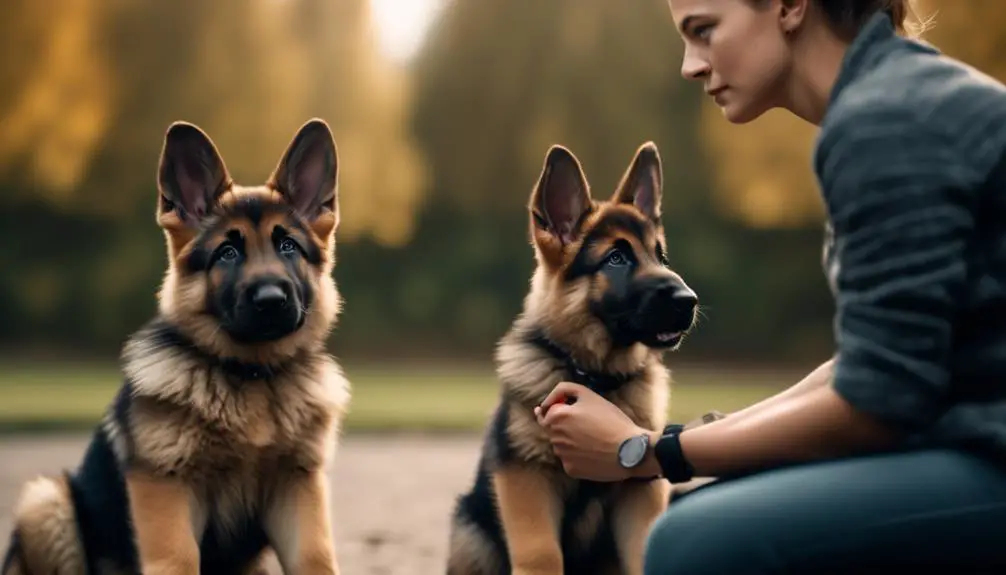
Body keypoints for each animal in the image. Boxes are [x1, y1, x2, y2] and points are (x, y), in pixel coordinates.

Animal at [0, 118, 352, 575]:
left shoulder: (297, 487)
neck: (251, 375)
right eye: (227, 252)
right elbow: (178, 559)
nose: (271, 299)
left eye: (288, 246)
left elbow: (315, 559)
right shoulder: (166, 488)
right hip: (48, 502)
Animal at [448, 140, 700, 575]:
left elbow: (643, 550)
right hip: (470, 532)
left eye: (661, 257)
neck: (595, 376)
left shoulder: (640, 490)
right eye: (616, 258)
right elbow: (542, 555)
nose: (690, 301)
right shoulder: (527, 477)